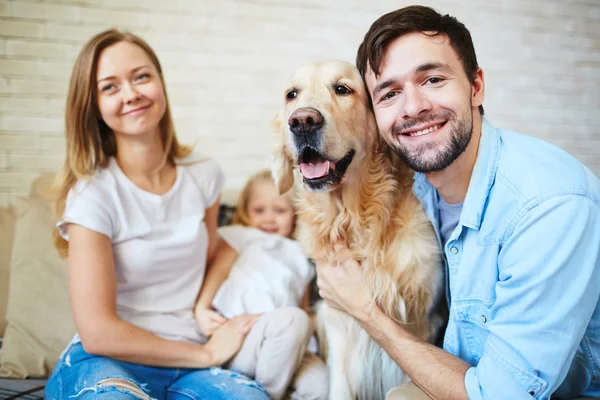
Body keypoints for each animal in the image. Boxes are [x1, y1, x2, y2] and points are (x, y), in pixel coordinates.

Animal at [272, 61, 446, 398]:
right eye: (291, 94)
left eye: (343, 89)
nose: (301, 121)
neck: (354, 218)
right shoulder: (339, 321)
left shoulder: (420, 320)